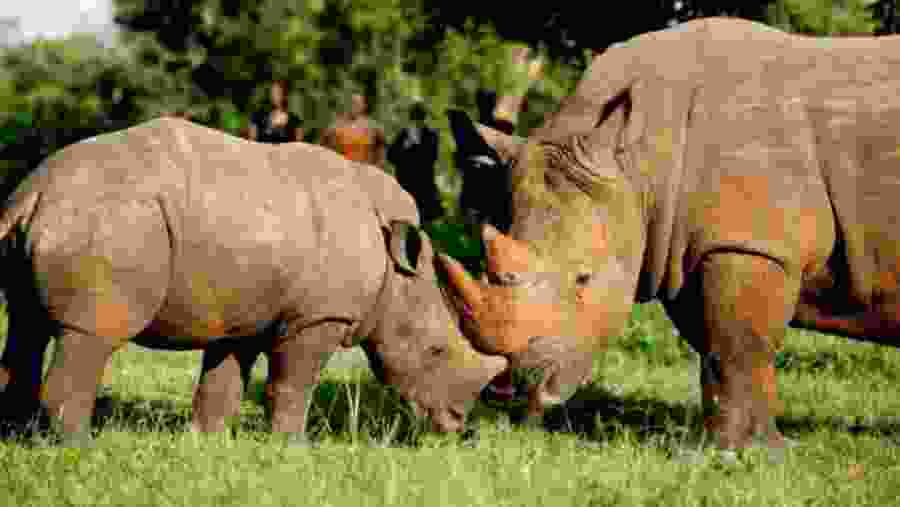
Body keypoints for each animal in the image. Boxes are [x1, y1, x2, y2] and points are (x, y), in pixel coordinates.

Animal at [0, 117, 508, 446]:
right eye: (436, 351)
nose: (458, 426)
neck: (397, 277)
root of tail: (35, 194)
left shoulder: (245, 309)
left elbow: (224, 380)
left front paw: (208, 444)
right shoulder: (318, 317)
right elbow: (293, 383)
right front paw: (294, 451)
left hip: (65, 215)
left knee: (25, 325)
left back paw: (21, 440)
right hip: (110, 221)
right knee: (90, 334)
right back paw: (78, 448)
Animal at [441, 16, 900, 452]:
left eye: (584, 278)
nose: (508, 389)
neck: (637, 166)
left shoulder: (751, 244)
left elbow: (738, 350)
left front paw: (746, 453)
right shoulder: (687, 247)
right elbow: (720, 352)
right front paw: (745, 446)